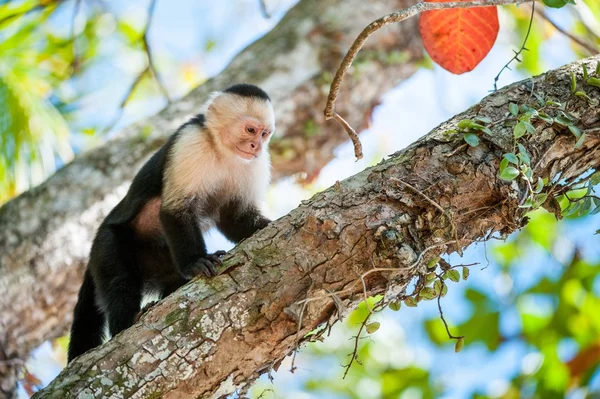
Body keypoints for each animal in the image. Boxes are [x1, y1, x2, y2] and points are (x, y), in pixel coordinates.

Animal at [67, 83, 272, 362]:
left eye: (264, 134)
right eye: (250, 130)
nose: (255, 146)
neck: (221, 150)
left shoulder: (255, 164)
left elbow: (235, 217)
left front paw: (265, 226)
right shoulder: (190, 142)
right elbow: (176, 209)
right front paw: (196, 262)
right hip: (107, 244)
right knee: (119, 279)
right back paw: (126, 322)